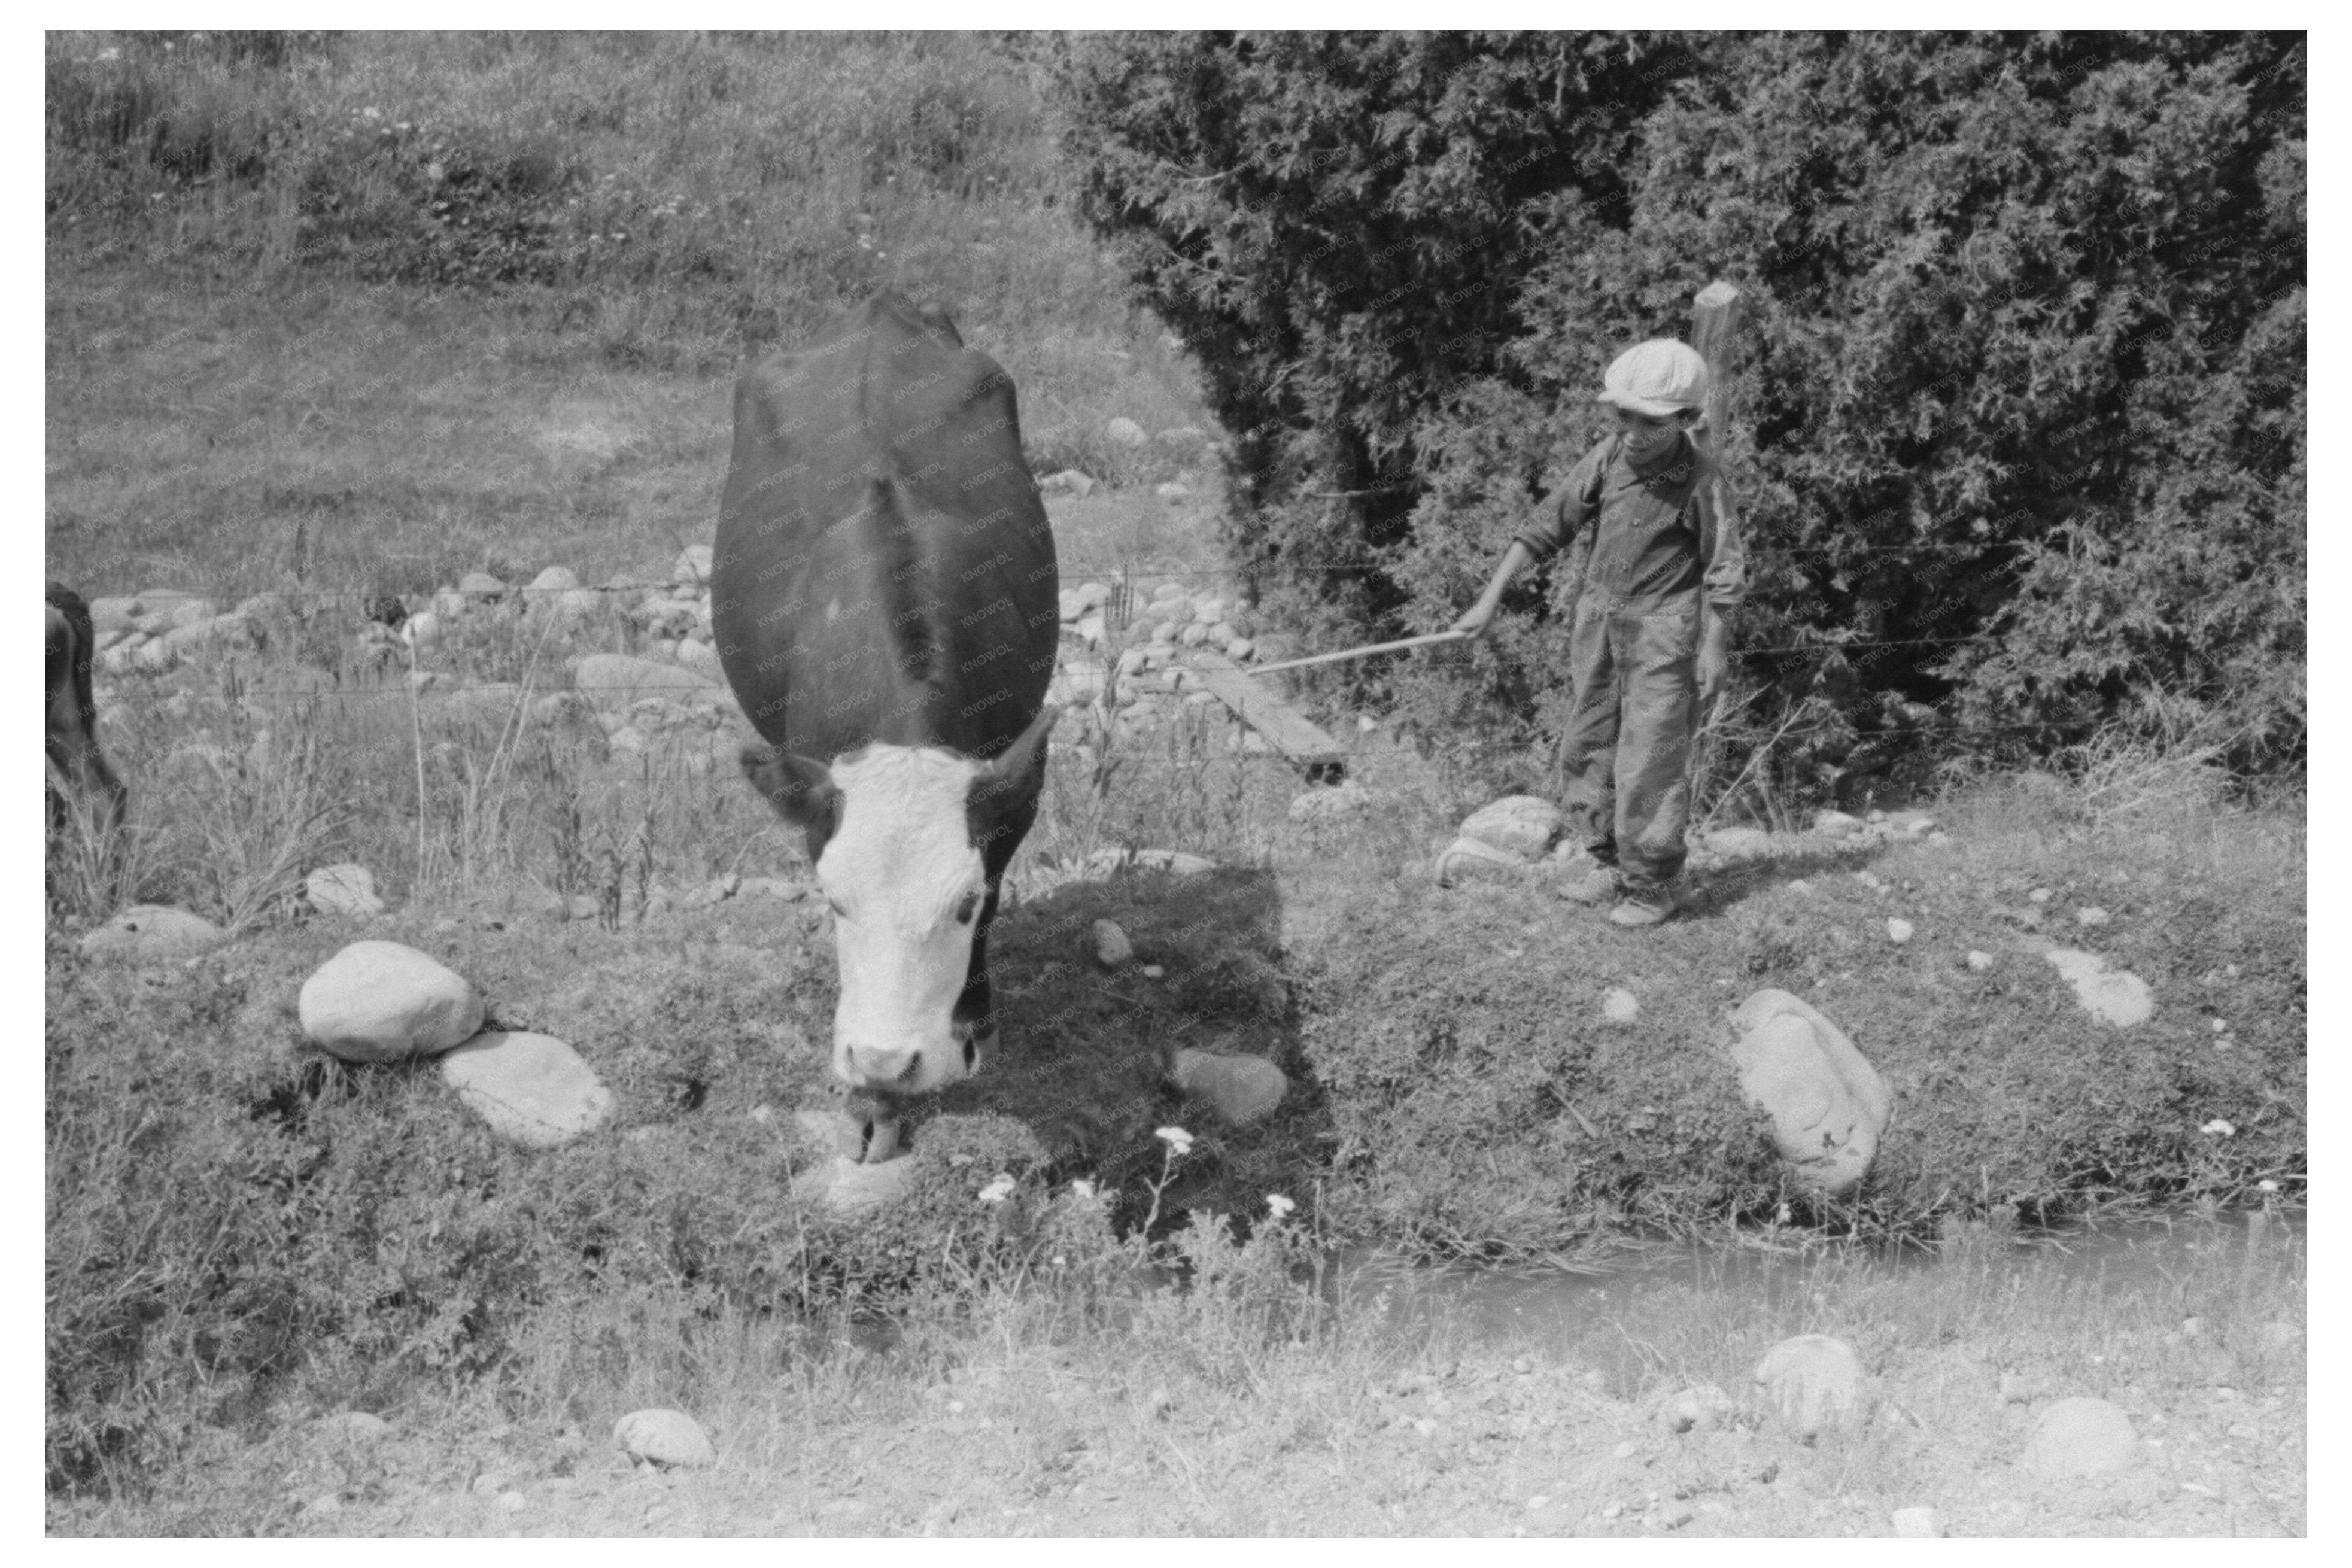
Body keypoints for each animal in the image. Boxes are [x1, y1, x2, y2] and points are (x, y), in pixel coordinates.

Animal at [706, 294, 1058, 1161]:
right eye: (834, 902)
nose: (885, 1059)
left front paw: (974, 1025)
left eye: (961, 904)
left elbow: (1001, 893)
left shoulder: (1012, 792)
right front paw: (872, 1106)